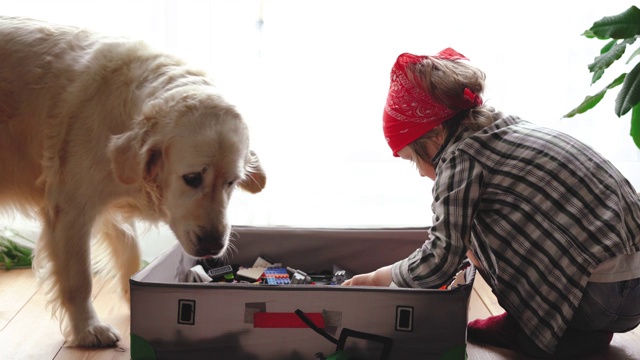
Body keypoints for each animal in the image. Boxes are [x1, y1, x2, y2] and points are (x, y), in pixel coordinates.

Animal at [0, 16, 266, 346]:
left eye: (232, 182)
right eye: (191, 178)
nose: (213, 246)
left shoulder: (107, 205)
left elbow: (130, 253)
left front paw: (134, 298)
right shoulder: (72, 209)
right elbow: (79, 279)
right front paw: (88, 329)